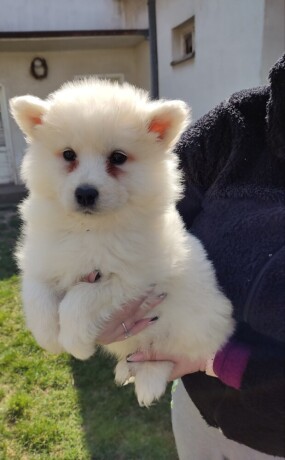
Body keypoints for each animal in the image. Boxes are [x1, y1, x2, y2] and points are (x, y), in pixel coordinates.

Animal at [11, 80, 233, 406]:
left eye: (117, 158)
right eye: (68, 155)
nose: (85, 193)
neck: (89, 229)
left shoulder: (132, 281)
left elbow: (79, 298)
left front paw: (75, 343)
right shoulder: (42, 256)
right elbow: (36, 293)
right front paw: (49, 338)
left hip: (191, 322)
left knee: (166, 354)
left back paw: (148, 381)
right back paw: (125, 369)